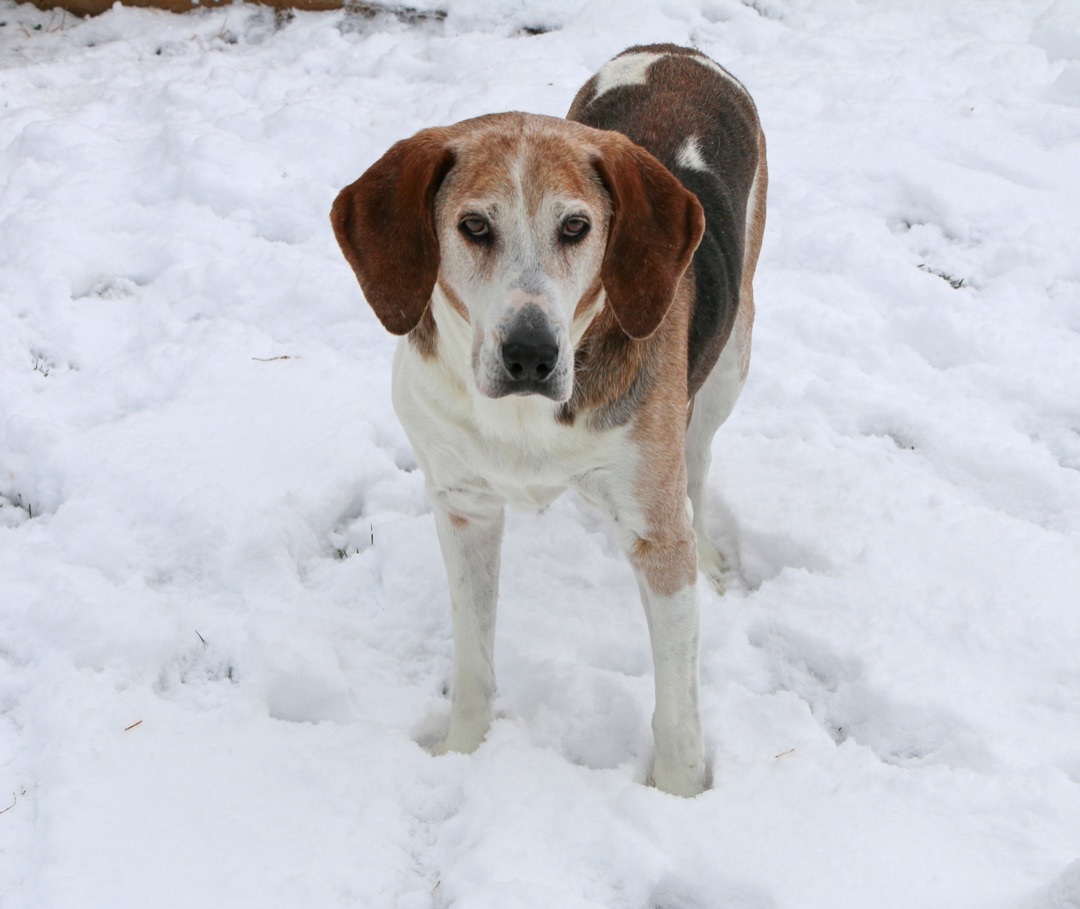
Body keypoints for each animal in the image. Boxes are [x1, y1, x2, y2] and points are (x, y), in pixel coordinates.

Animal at [332, 44, 764, 794]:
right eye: (474, 226)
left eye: (575, 227)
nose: (530, 354)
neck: (526, 417)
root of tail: (677, 50)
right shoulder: (464, 505)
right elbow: (473, 663)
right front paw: (462, 751)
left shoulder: (657, 536)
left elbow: (679, 707)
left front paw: (679, 794)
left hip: (730, 362)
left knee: (698, 464)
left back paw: (710, 549)